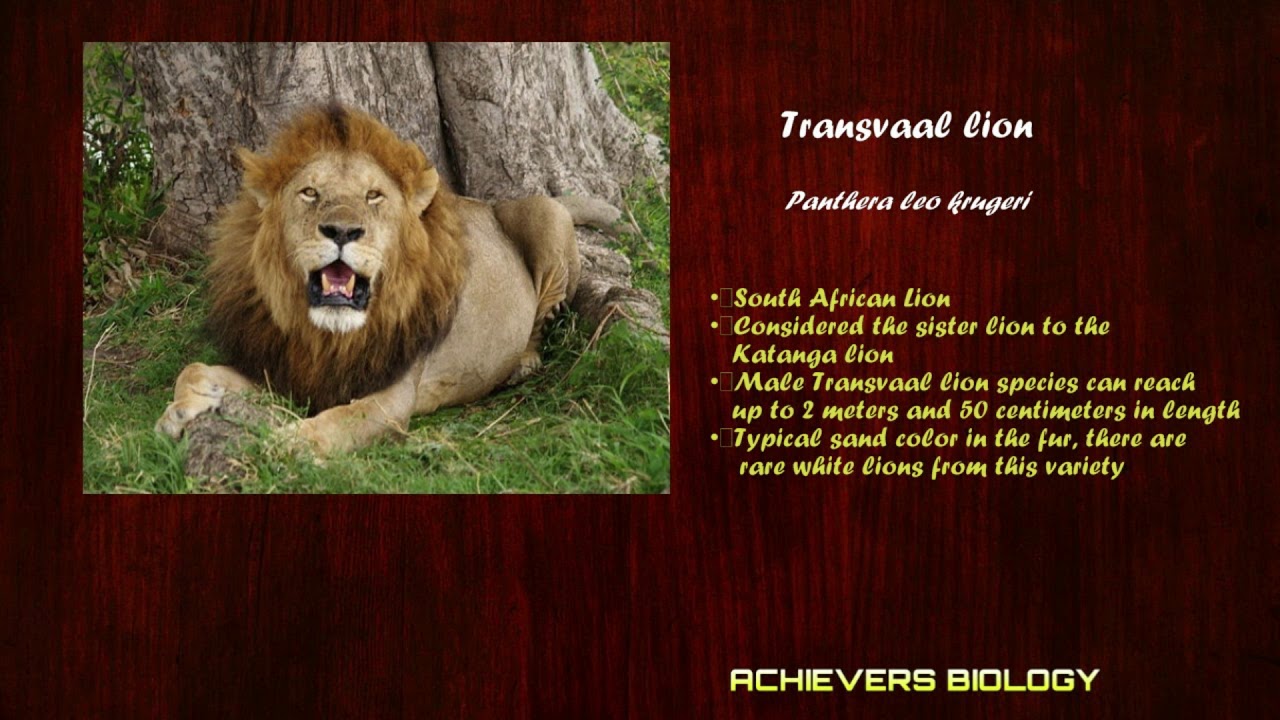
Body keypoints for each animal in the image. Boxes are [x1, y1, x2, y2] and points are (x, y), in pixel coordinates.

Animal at [156, 104, 618, 455]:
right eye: (310, 192)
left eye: (373, 196)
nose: (342, 231)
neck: (328, 336)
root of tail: (490, 204)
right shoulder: (284, 371)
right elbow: (194, 367)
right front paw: (180, 410)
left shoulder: (392, 398)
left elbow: (338, 421)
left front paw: (286, 443)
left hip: (547, 216)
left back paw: (522, 362)